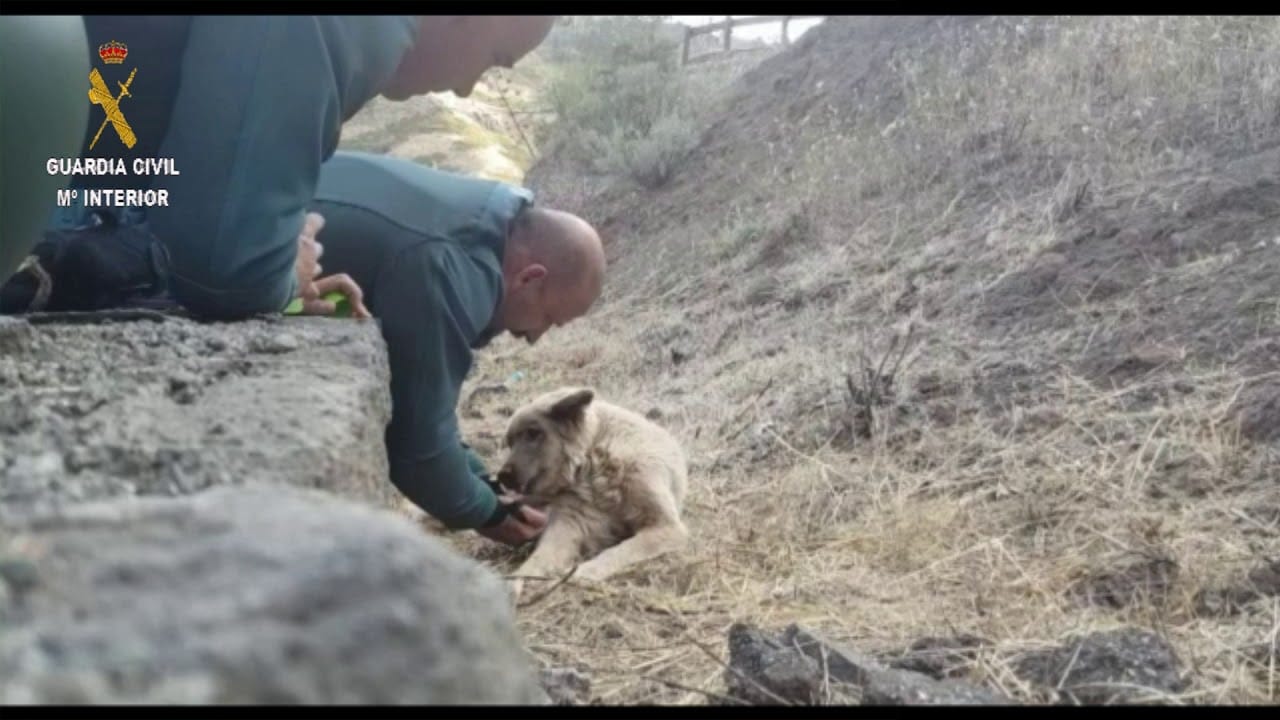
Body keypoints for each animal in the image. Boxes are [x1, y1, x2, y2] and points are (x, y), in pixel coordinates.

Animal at [494, 384, 691, 597]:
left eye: (533, 433)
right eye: (510, 442)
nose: (502, 476)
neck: (593, 462)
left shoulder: (666, 526)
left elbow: (617, 552)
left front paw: (578, 575)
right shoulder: (569, 524)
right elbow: (537, 559)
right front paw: (514, 581)